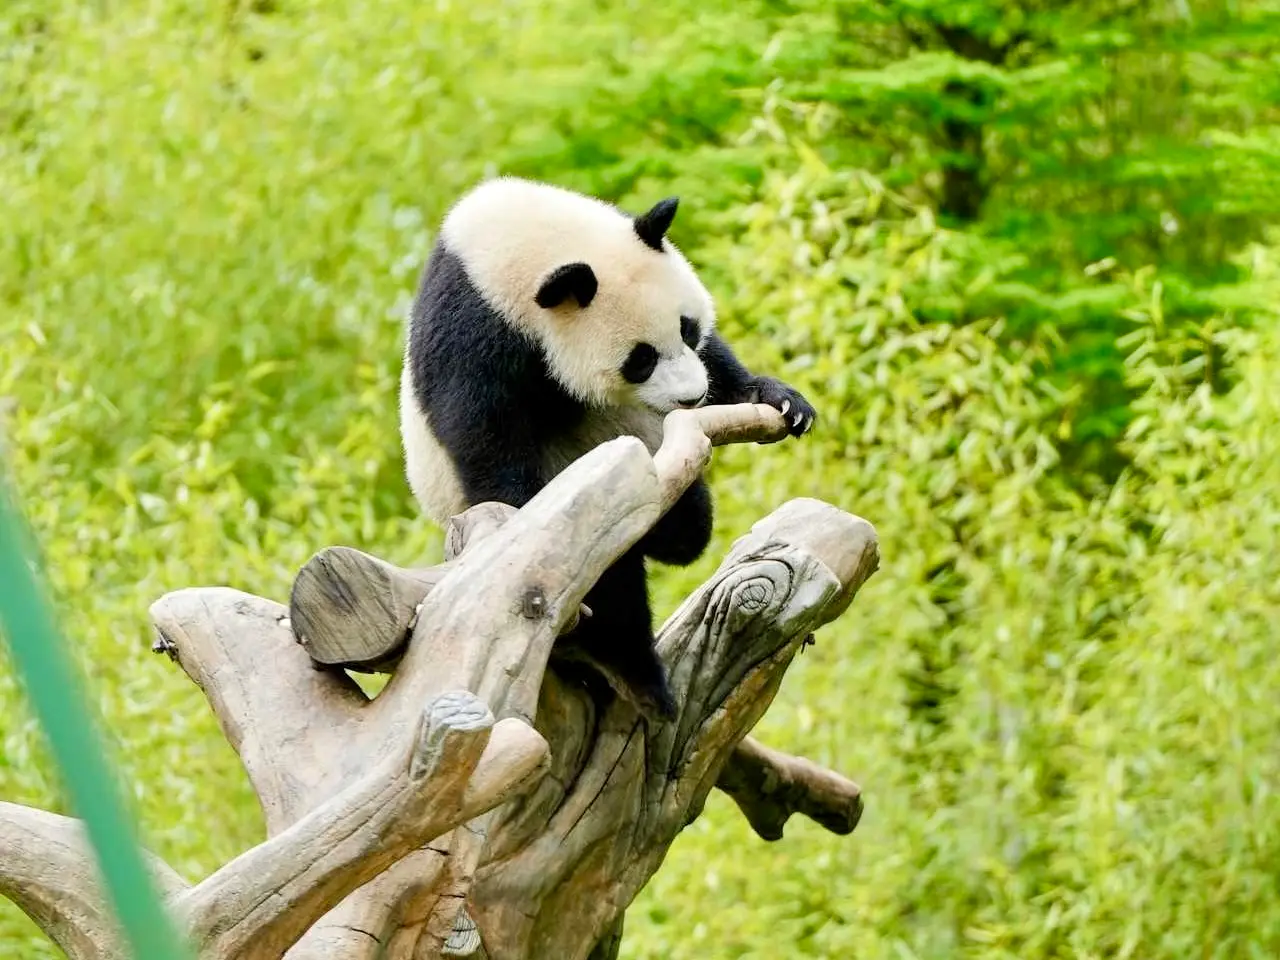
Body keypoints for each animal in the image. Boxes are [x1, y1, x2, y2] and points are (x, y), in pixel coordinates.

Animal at [399, 176, 815, 720]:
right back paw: (633, 672)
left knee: (687, 533)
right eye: (640, 360)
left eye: (687, 329)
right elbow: (486, 440)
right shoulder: (474, 333)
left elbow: (720, 362)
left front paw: (780, 399)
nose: (692, 397)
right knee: (612, 579)